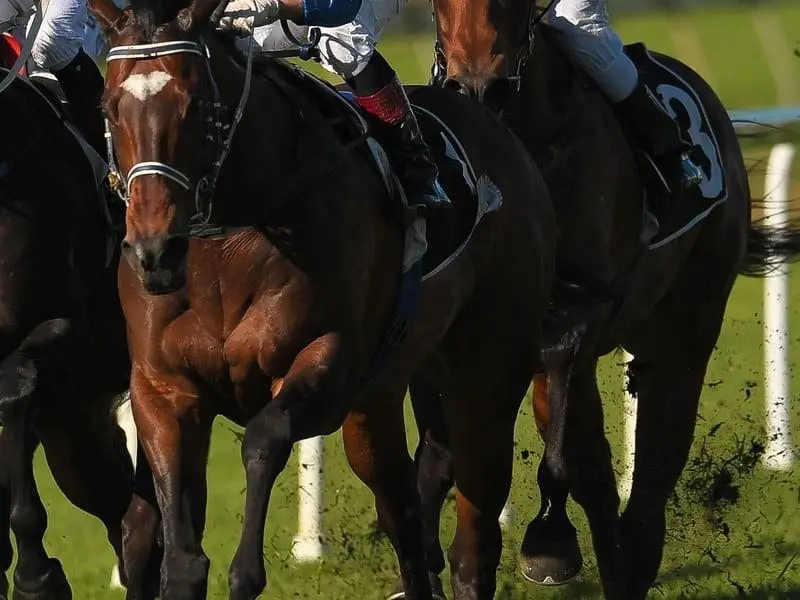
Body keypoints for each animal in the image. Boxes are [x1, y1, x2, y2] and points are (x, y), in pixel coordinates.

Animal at [89, 0, 556, 596]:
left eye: (193, 105)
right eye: (109, 106)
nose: (153, 250)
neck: (225, 246)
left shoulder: (327, 364)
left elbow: (263, 439)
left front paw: (248, 571)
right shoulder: (162, 388)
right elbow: (183, 552)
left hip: (486, 379)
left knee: (474, 538)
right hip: (378, 399)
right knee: (402, 510)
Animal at [396, 1, 800, 600]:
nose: (479, 87)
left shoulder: (582, 310)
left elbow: (564, 450)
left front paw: (549, 541)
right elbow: (443, 452)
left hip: (687, 326)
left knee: (654, 462)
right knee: (599, 470)